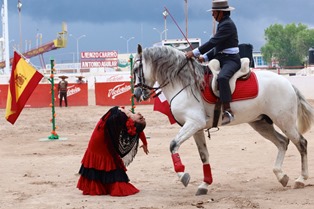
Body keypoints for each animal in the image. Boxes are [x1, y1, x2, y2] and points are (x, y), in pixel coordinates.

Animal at [132, 44, 314, 196]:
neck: (184, 84)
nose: (136, 94)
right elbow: (204, 155)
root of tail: (287, 83)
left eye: (136, 69)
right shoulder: (197, 129)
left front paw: (183, 175)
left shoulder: (194, 123)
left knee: (301, 143)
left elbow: (173, 145)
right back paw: (281, 176)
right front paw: (205, 185)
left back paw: (301, 179)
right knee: (282, 142)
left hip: (284, 121)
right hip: (261, 123)